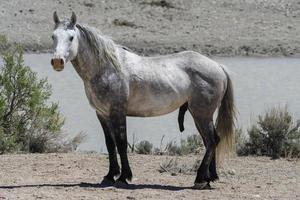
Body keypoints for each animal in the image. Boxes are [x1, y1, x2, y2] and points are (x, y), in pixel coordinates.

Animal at [50, 11, 236, 190]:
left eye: (71, 37)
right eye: (53, 36)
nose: (57, 61)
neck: (106, 69)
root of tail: (218, 67)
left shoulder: (118, 112)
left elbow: (121, 143)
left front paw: (124, 177)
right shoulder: (102, 114)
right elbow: (110, 144)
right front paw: (109, 176)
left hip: (201, 114)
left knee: (211, 141)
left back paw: (199, 179)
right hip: (199, 114)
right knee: (211, 141)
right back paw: (209, 179)